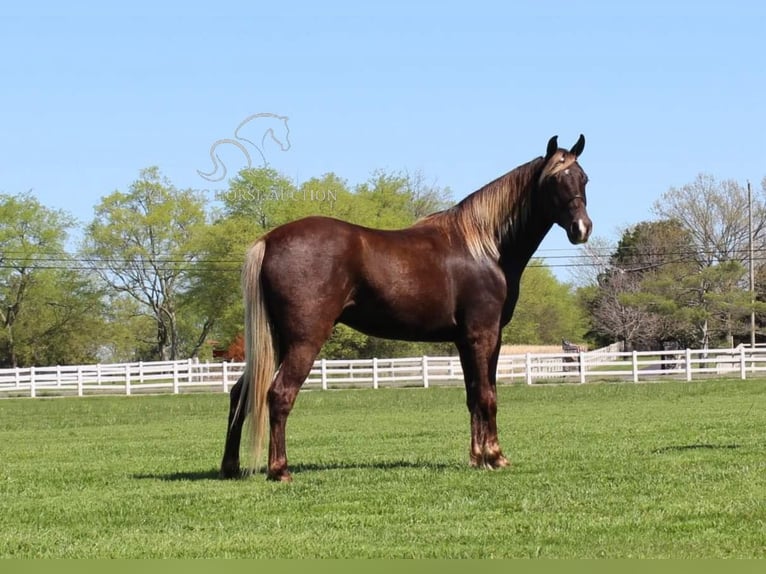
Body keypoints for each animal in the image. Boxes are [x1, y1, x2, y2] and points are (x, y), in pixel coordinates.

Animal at [222, 135, 592, 482]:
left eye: (584, 178)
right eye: (554, 180)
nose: (582, 229)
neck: (485, 248)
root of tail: (268, 241)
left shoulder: (465, 340)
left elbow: (474, 395)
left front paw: (477, 457)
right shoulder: (483, 335)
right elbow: (488, 396)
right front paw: (495, 457)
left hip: (276, 341)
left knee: (240, 393)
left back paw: (230, 466)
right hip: (303, 341)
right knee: (280, 394)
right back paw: (280, 469)